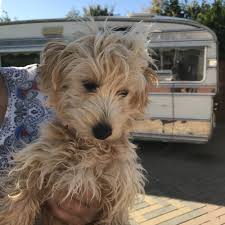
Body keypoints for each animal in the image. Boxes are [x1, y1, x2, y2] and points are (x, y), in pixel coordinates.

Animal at [0, 22, 156, 225]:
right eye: (89, 85)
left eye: (123, 92)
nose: (103, 131)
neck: (89, 148)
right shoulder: (36, 163)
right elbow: (18, 201)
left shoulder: (118, 192)